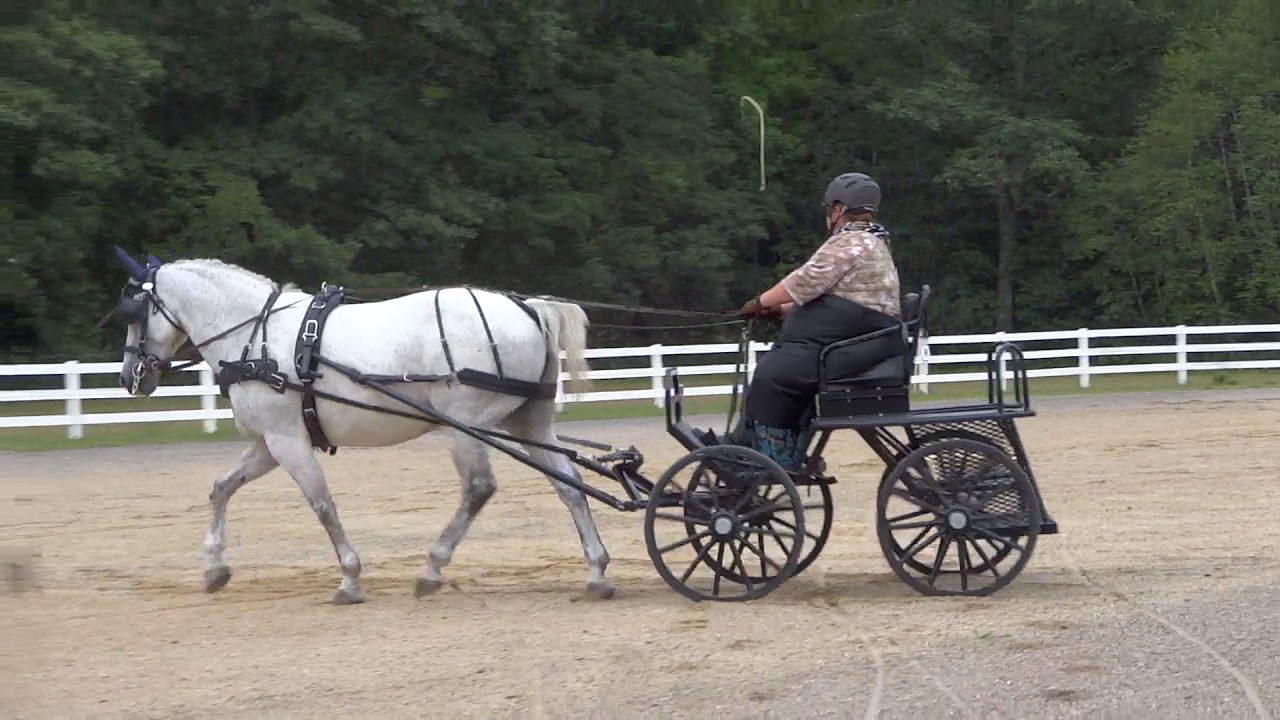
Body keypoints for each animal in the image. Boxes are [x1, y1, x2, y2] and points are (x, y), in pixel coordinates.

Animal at [108, 248, 613, 604]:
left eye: (134, 310)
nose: (130, 377)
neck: (254, 336)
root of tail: (529, 307)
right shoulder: (271, 443)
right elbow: (221, 488)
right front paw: (214, 567)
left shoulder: (288, 442)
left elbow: (323, 506)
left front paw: (349, 579)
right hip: (529, 423)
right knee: (569, 485)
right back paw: (596, 571)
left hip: (464, 428)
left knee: (479, 488)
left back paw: (432, 568)